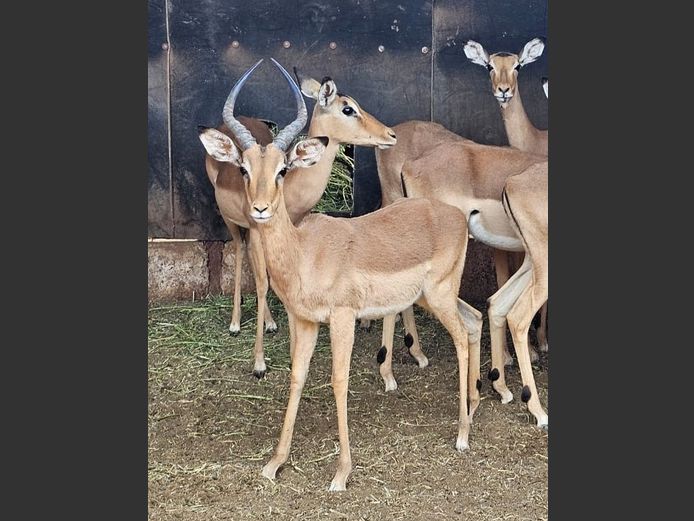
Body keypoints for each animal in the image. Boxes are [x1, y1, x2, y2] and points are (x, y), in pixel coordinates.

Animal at [203, 60, 397, 378]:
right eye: (348, 108)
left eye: (283, 168)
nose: (390, 135)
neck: (291, 191)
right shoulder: (257, 232)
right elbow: (262, 283)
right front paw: (259, 362)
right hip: (235, 225)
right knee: (242, 253)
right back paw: (235, 323)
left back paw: (269, 322)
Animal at [468, 160, 548, 428]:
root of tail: (513, 183)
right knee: (518, 317)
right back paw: (537, 410)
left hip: (531, 262)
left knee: (497, 302)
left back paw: (501, 387)